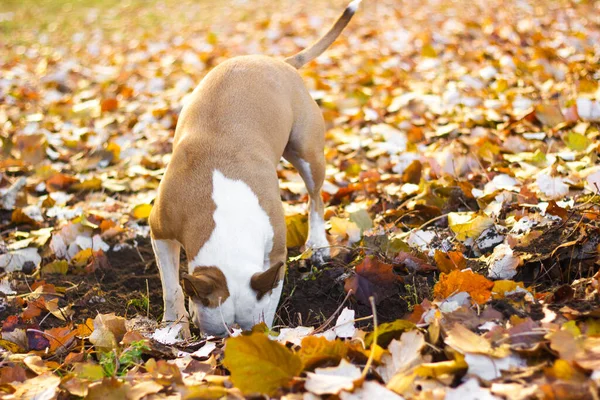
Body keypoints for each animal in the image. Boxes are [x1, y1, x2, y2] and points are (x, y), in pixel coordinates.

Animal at [149, 0, 360, 338]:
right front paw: (174, 327)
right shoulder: (160, 231)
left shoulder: (275, 258)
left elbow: (269, 300)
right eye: (216, 335)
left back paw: (317, 245)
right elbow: (172, 287)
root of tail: (280, 61)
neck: (227, 218)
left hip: (307, 153)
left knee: (316, 198)